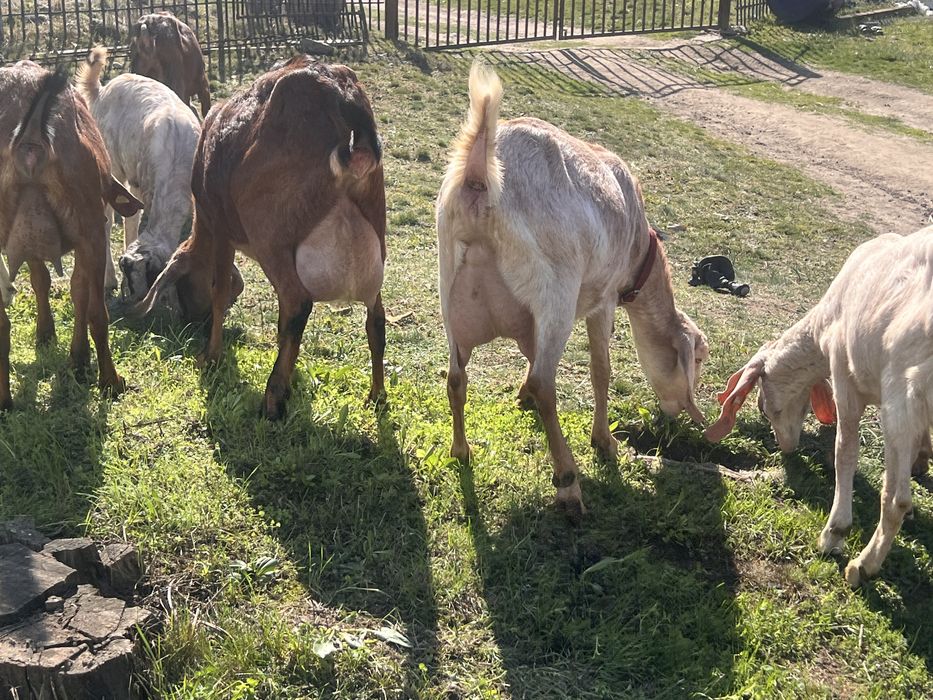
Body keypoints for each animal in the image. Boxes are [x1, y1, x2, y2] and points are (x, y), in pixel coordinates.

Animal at [0, 63, 139, 408]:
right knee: (98, 314)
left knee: (2, 323)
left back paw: (5, 401)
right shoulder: (86, 235)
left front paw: (50, 337)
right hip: (91, 226)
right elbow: (79, 292)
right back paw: (111, 381)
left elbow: (46, 281)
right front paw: (78, 357)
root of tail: (31, 139)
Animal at [77, 46, 200, 304]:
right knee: (107, 221)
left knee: (130, 217)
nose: (128, 304)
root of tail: (102, 91)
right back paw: (108, 280)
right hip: (112, 169)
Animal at [134, 56, 386, 419]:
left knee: (298, 303)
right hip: (375, 229)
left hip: (269, 237)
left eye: (183, 285)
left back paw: (273, 398)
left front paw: (211, 355)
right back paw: (377, 395)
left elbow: (220, 290)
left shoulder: (221, 228)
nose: (194, 320)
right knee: (375, 318)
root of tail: (343, 100)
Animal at [436, 62, 709, 519]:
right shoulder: (604, 299)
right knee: (546, 383)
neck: (640, 248)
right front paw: (605, 441)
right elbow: (601, 369)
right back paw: (568, 482)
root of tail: (479, 174)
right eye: (700, 360)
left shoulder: (530, 320)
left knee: (457, 377)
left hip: (451, 289)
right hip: (557, 290)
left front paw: (520, 398)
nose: (676, 416)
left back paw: (461, 450)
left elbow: (530, 357)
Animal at [705, 225, 933, 587]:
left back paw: (863, 565)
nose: (786, 447)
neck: (824, 324)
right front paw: (922, 459)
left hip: (901, 395)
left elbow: (845, 451)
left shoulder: (844, 375)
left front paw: (834, 532)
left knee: (894, 498)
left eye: (764, 406)